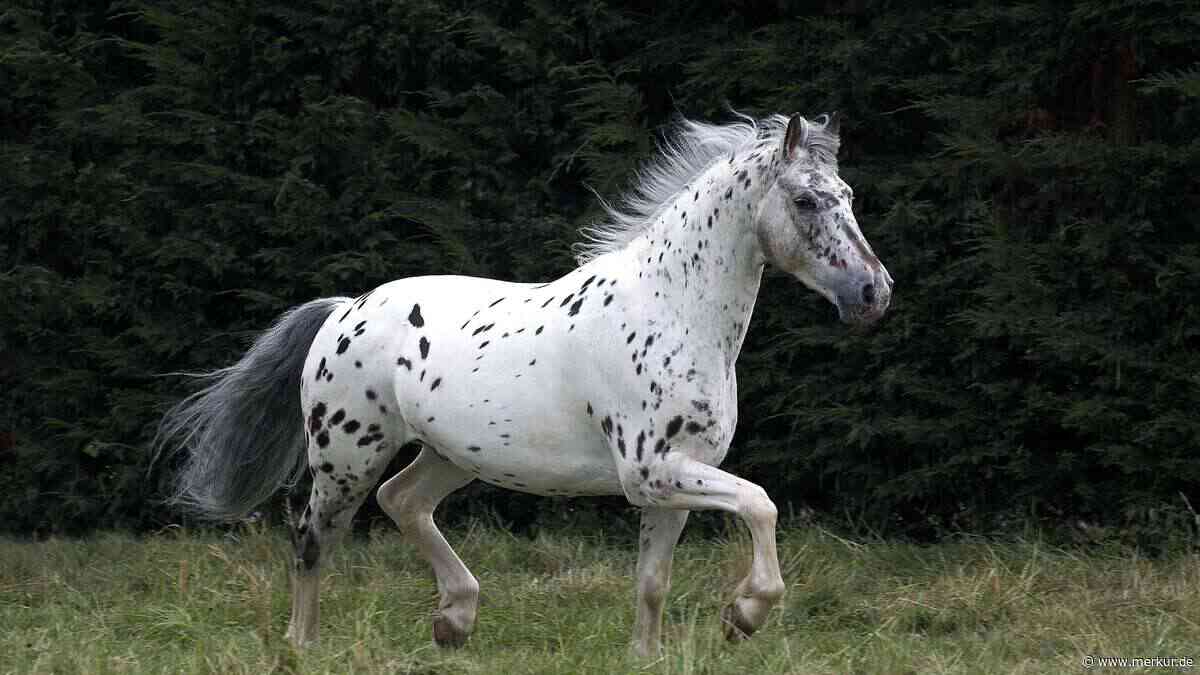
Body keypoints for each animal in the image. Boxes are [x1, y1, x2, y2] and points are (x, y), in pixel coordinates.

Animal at [154, 112, 892, 656]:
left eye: (849, 198)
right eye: (806, 200)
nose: (873, 292)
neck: (670, 308)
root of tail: (344, 309)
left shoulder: (675, 480)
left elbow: (653, 580)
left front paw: (648, 655)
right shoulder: (651, 470)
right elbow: (762, 505)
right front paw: (744, 613)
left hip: (451, 454)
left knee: (403, 501)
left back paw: (454, 618)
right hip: (345, 455)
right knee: (313, 537)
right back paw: (304, 645)